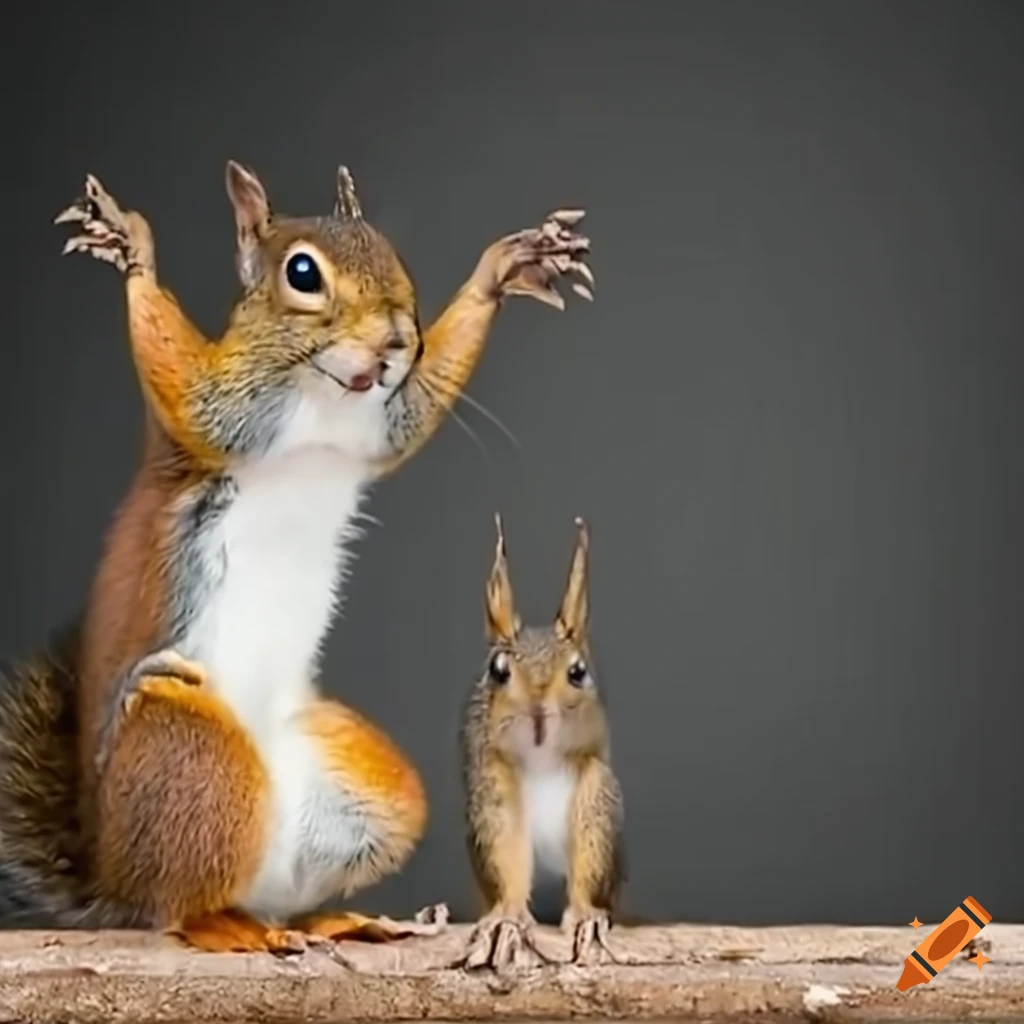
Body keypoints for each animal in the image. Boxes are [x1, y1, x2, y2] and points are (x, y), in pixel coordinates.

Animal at [0, 162, 594, 952]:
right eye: (302, 273)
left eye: (392, 256)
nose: (399, 339)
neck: (325, 399)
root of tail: (113, 881)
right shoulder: (223, 406)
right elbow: (183, 381)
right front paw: (133, 249)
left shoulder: (384, 422)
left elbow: (424, 400)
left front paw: (504, 269)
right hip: (188, 750)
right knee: (176, 908)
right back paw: (230, 929)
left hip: (363, 793)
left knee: (286, 888)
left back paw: (341, 920)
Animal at [459, 515, 626, 971]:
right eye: (498, 669)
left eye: (578, 672)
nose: (537, 713)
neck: (541, 762)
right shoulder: (493, 792)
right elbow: (508, 858)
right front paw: (509, 916)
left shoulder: (596, 793)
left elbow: (588, 859)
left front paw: (586, 916)